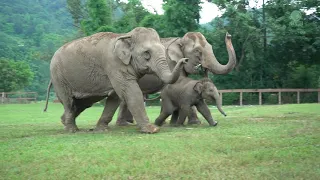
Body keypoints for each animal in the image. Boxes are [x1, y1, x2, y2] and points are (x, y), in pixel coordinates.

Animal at [42, 27, 188, 133]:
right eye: (146, 53)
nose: (185, 59)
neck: (125, 35)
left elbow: (115, 97)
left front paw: (102, 130)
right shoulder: (114, 65)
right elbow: (130, 92)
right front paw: (152, 130)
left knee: (83, 103)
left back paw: (64, 122)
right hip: (59, 77)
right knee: (69, 101)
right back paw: (71, 130)